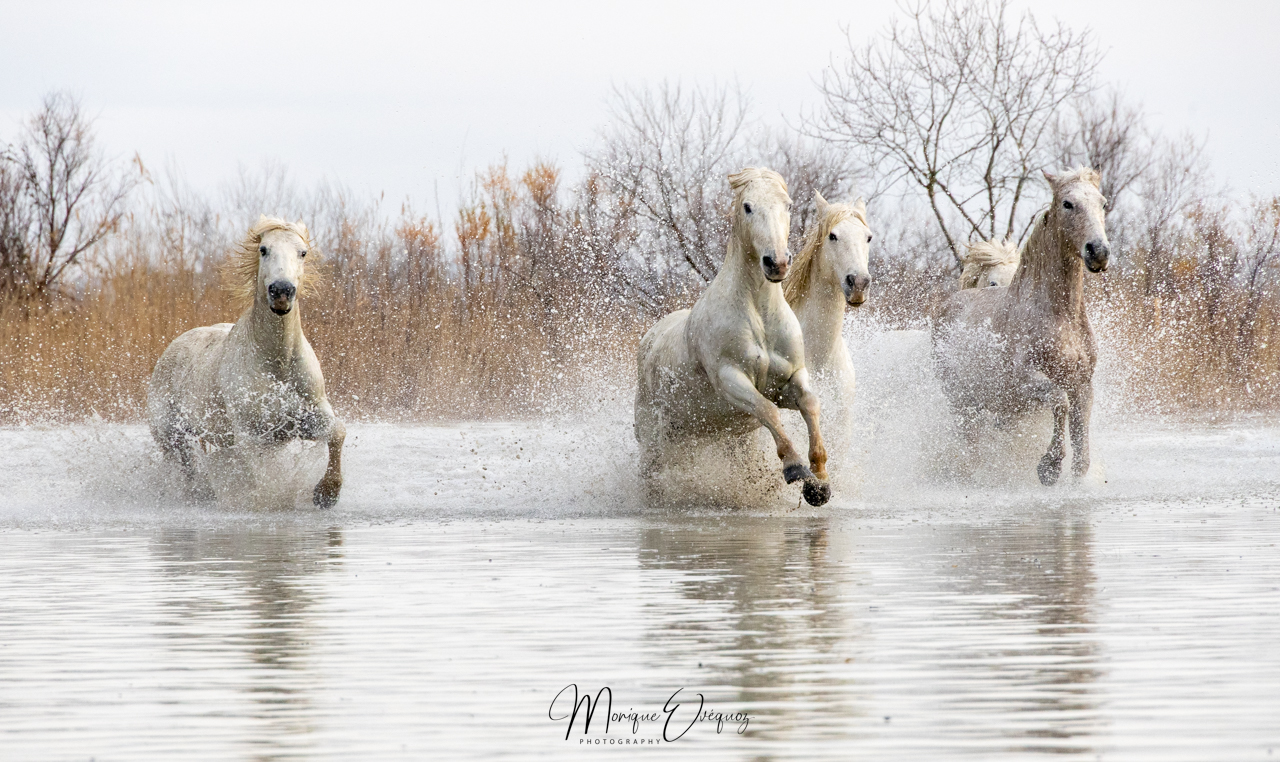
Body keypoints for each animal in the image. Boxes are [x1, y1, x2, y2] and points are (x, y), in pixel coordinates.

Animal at [146, 216, 346, 507]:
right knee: (187, 470)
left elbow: (338, 432)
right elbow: (265, 476)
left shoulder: (306, 416)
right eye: (263, 249)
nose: (282, 291)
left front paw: (327, 493)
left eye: (303, 252)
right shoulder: (253, 436)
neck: (277, 364)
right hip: (171, 436)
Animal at [634, 168, 831, 506]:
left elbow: (810, 403)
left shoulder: (790, 379)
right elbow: (767, 410)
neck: (759, 315)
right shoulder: (730, 380)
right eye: (748, 207)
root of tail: (647, 342)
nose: (777, 263)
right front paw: (794, 469)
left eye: (789, 205)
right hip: (655, 440)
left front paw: (818, 483)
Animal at [932, 168, 1110, 485]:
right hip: (961, 401)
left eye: (1103, 203)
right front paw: (1049, 468)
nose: (1098, 252)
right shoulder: (1026, 381)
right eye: (1067, 203)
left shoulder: (1083, 384)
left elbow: (1080, 431)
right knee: (970, 440)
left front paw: (1077, 475)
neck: (1060, 318)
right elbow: (1060, 402)